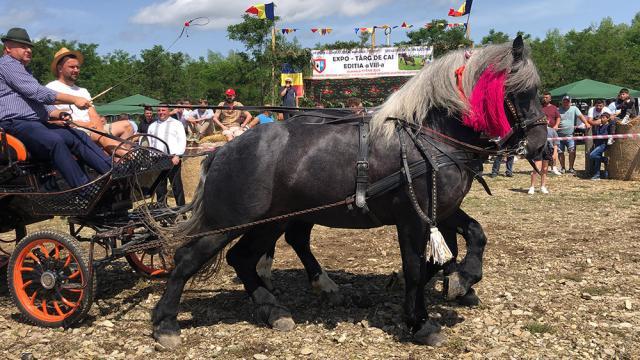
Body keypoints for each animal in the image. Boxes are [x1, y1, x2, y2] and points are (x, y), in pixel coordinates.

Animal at [150, 36, 544, 348]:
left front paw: (462, 280)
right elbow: (417, 267)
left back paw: (274, 309)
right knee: (188, 259)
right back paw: (166, 322)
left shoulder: (442, 209)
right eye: (519, 91)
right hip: (229, 222)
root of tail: (221, 150)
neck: (429, 136)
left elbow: (471, 237)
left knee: (244, 258)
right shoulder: (414, 217)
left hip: (269, 221)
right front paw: (421, 321)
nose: (540, 145)